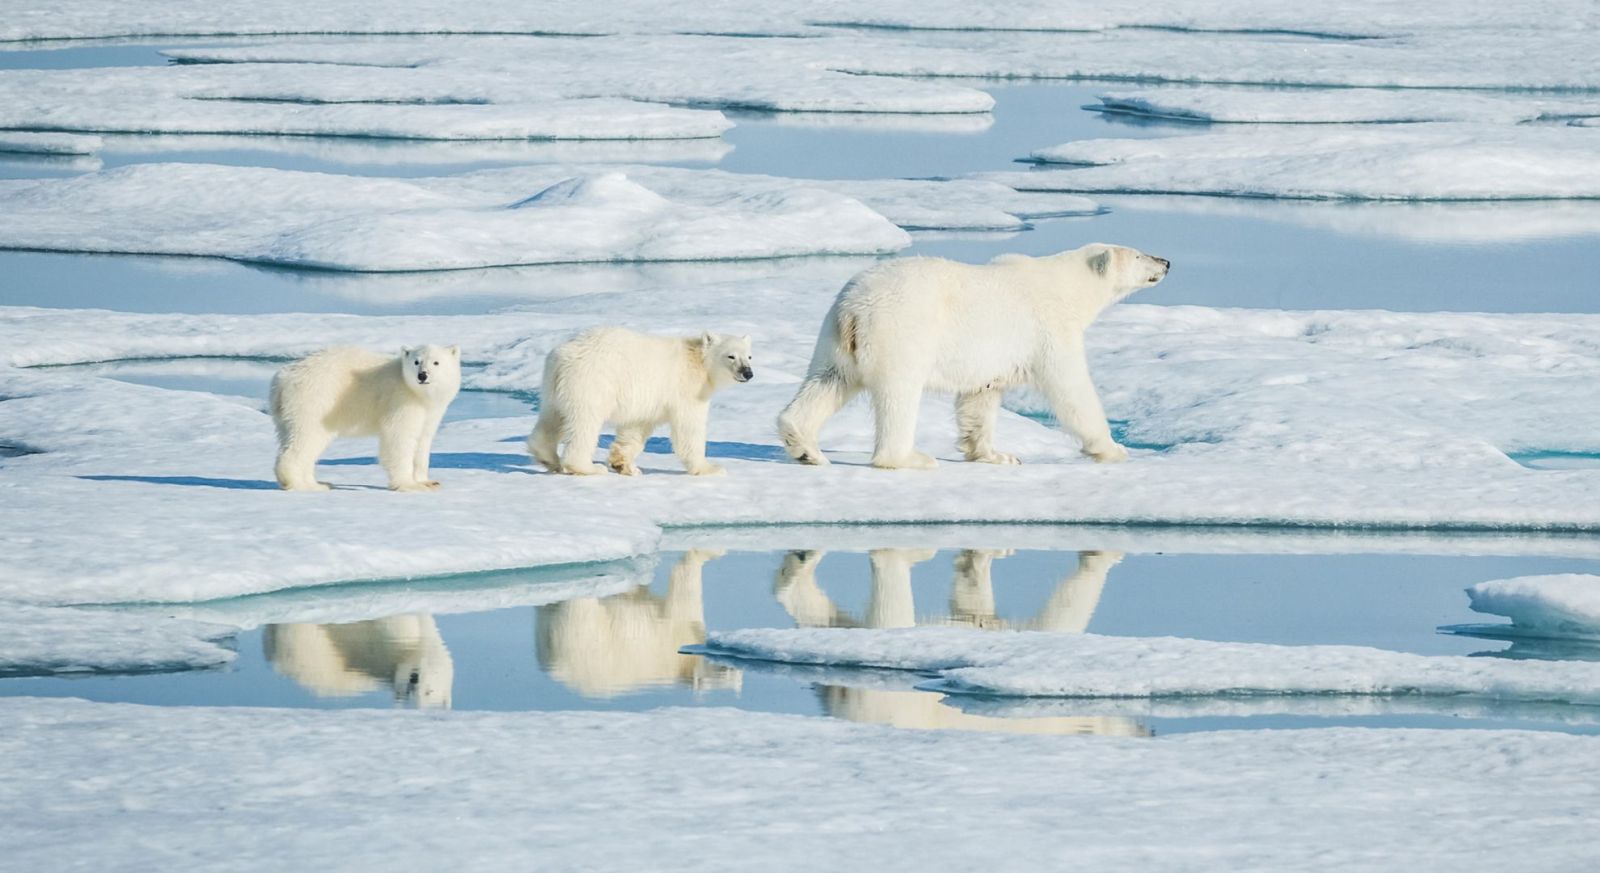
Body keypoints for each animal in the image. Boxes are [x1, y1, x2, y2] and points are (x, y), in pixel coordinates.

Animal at [270, 344, 460, 492]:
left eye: (436, 362)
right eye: (416, 361)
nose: (422, 375)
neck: (418, 394)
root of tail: (282, 380)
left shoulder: (430, 412)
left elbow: (422, 441)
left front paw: (428, 482)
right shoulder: (401, 400)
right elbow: (399, 438)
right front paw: (408, 485)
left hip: (288, 412)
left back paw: (318, 483)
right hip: (315, 400)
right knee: (306, 439)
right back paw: (301, 484)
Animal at [527, 327, 753, 477]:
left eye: (749, 356)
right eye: (731, 356)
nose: (748, 373)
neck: (699, 361)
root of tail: (563, 357)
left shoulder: (648, 401)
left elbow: (635, 428)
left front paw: (624, 465)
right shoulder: (687, 389)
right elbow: (689, 428)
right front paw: (711, 468)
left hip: (553, 387)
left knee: (551, 418)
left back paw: (548, 458)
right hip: (592, 383)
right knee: (584, 424)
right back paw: (588, 467)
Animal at [777, 243, 1170, 470]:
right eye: (1139, 254)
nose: (1166, 261)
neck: (1067, 287)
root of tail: (854, 308)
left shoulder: (991, 358)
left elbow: (980, 398)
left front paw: (997, 455)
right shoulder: (1048, 329)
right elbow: (1070, 389)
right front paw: (1112, 448)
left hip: (834, 339)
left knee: (827, 382)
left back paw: (806, 448)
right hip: (901, 330)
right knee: (898, 394)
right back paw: (910, 458)